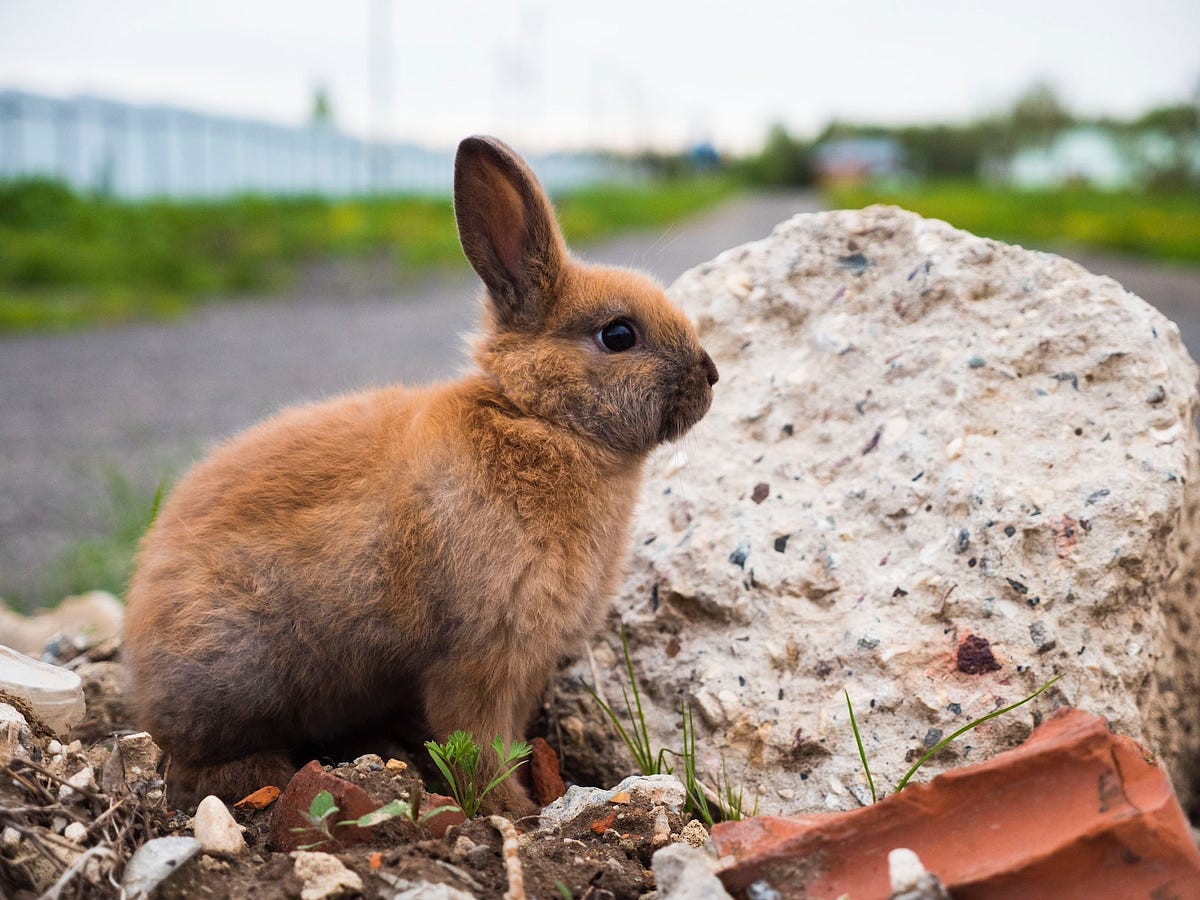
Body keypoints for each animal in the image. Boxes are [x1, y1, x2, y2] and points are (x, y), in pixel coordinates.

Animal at [122, 135, 718, 816]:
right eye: (618, 334)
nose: (711, 374)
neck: (539, 419)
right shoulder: (479, 655)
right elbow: (478, 740)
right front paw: (514, 810)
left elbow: (509, 735)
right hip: (239, 673)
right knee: (194, 766)